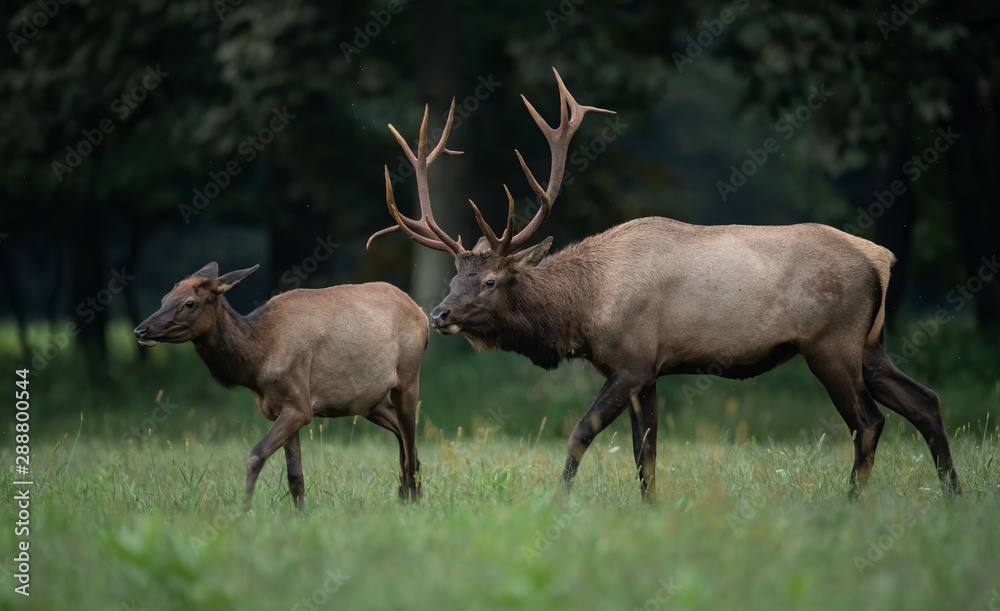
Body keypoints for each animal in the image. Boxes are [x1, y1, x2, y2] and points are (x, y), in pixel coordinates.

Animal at [133, 262, 428, 510]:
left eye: (190, 303)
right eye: (164, 299)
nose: (140, 330)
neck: (256, 363)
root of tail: (423, 314)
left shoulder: (299, 406)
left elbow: (256, 455)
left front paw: (242, 510)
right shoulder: (280, 409)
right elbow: (295, 477)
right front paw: (299, 516)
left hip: (408, 378)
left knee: (409, 440)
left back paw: (413, 499)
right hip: (369, 401)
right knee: (405, 440)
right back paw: (406, 494)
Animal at [367, 68, 961, 500]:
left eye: (489, 279)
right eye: (454, 276)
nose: (440, 314)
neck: (585, 310)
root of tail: (881, 258)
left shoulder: (630, 360)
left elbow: (582, 432)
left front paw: (559, 498)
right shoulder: (647, 371)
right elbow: (645, 453)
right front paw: (649, 509)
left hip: (831, 344)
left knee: (870, 421)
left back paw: (852, 501)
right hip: (870, 345)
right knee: (926, 400)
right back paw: (952, 493)